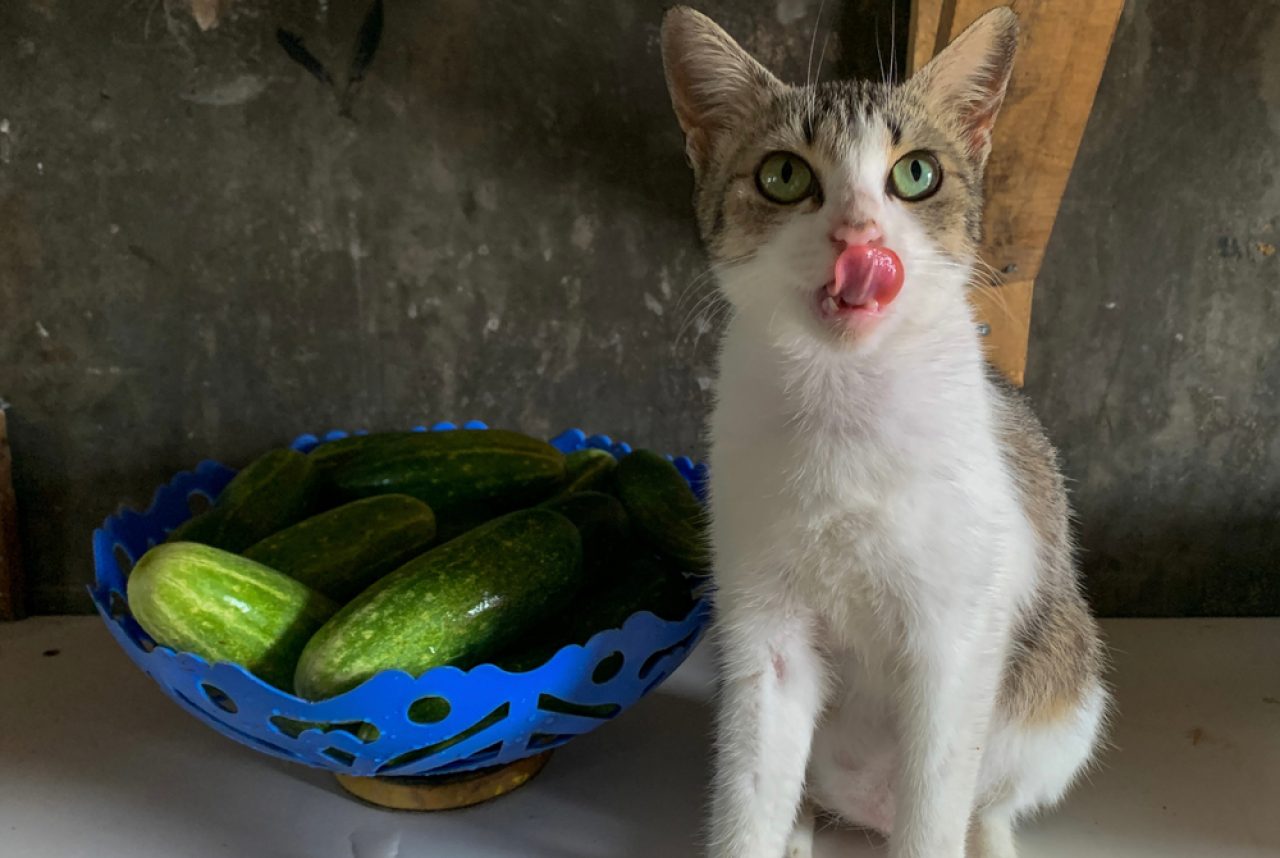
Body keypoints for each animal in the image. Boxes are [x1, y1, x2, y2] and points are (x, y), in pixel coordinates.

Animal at [660, 8, 1111, 858]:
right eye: (783, 176)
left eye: (916, 174)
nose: (857, 234)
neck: (845, 397)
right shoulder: (765, 629)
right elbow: (749, 786)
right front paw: (761, 832)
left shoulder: (954, 638)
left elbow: (936, 800)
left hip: (1064, 697)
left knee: (988, 796)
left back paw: (988, 837)